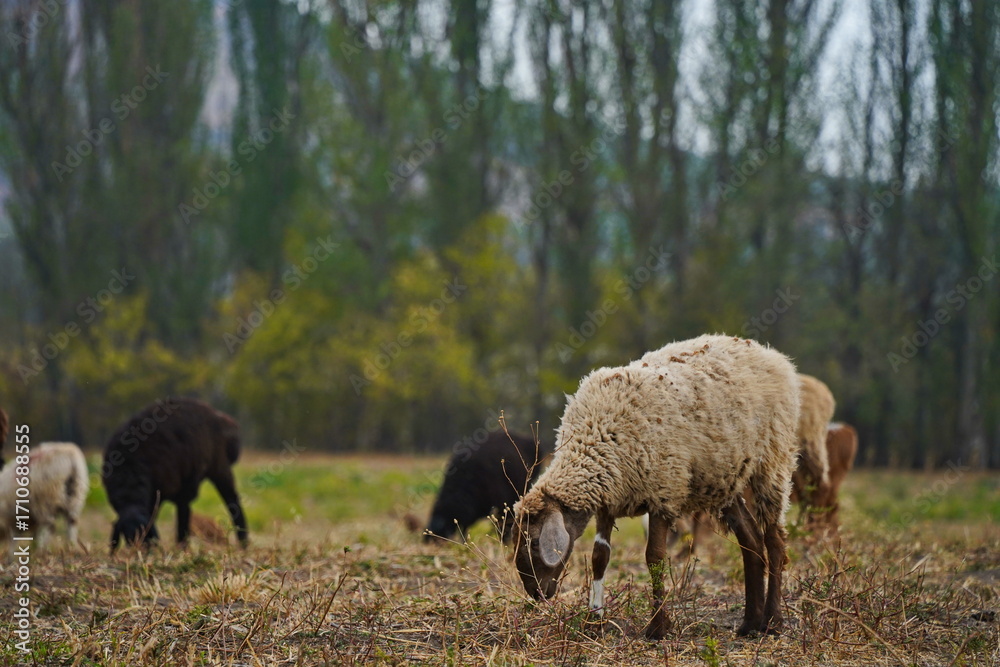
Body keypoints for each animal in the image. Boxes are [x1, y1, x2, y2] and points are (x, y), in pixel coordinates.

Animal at [102, 397, 248, 551]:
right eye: (127, 536)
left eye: (143, 532)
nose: (139, 550)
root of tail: (220, 416)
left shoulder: (168, 492)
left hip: (217, 469)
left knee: (232, 501)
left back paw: (242, 543)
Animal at [512, 334, 800, 639]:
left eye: (534, 542)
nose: (535, 593)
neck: (596, 436)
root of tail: (767, 352)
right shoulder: (608, 500)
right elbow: (599, 558)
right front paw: (594, 621)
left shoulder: (663, 492)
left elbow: (655, 558)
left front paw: (658, 627)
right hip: (726, 478)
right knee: (751, 541)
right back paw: (749, 623)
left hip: (773, 462)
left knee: (774, 542)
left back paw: (772, 621)